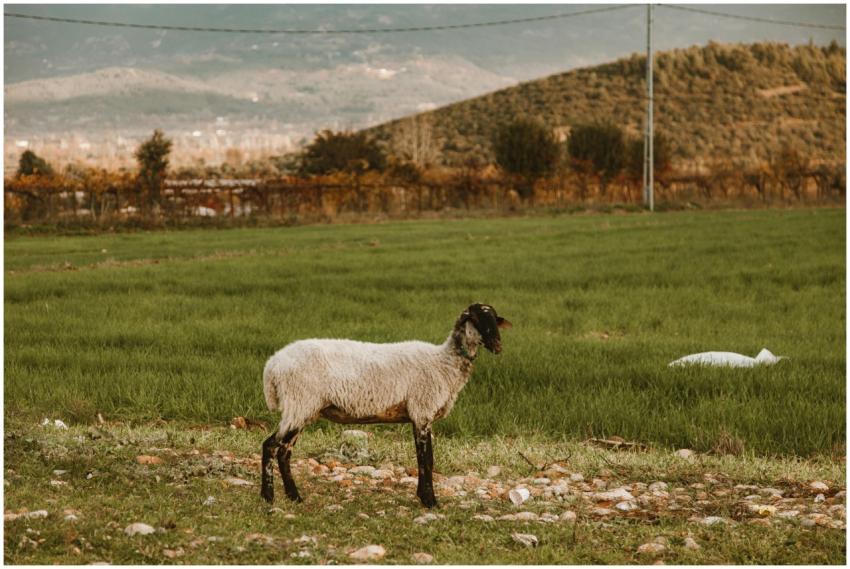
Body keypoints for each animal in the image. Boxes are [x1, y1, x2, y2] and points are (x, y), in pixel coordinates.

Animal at [260, 303, 512, 508]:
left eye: (495, 319)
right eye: (476, 319)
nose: (498, 346)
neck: (445, 362)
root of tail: (272, 365)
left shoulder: (421, 415)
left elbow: (424, 459)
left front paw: (423, 496)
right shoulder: (422, 411)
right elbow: (426, 459)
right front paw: (429, 501)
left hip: (302, 408)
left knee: (284, 451)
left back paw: (294, 496)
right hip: (299, 403)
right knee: (271, 446)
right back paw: (268, 497)